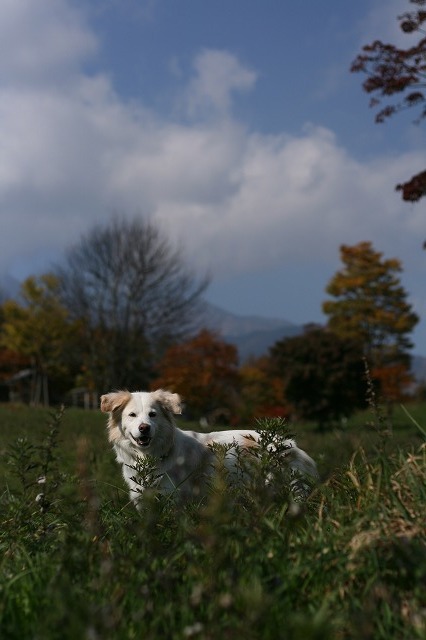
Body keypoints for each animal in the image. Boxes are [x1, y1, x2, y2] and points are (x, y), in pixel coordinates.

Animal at [100, 388, 320, 508]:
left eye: (153, 414)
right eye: (132, 415)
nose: (144, 428)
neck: (151, 457)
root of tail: (289, 444)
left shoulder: (172, 498)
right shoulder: (141, 498)